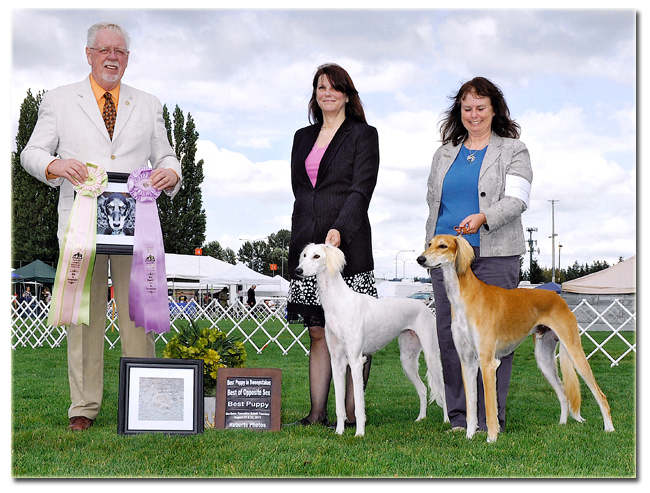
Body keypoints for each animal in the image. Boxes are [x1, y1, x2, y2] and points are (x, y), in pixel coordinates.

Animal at [294, 242, 446, 434]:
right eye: (305, 255)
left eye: (317, 256)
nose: (298, 270)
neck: (337, 302)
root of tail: (424, 306)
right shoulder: (336, 361)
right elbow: (339, 406)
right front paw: (339, 432)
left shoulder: (356, 361)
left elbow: (358, 405)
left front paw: (359, 433)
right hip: (407, 359)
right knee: (423, 389)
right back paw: (421, 418)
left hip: (431, 355)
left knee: (444, 389)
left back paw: (448, 421)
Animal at [416, 234, 612, 442]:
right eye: (429, 244)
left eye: (442, 246)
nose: (420, 259)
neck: (464, 297)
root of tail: (558, 297)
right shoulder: (467, 361)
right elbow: (471, 405)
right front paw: (469, 436)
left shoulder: (487, 363)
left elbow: (489, 406)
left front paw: (491, 438)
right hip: (543, 358)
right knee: (563, 392)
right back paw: (562, 424)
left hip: (574, 350)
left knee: (600, 394)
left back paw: (609, 428)